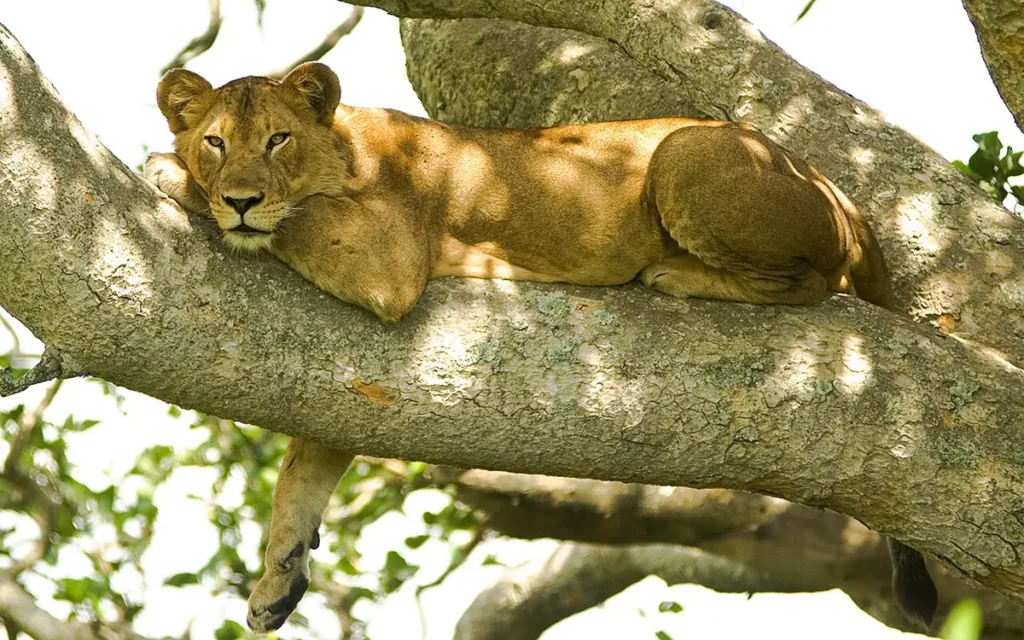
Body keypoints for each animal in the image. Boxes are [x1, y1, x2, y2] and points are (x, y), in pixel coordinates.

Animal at [146, 62, 936, 632]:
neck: (345, 149)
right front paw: (279, 576)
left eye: (277, 140)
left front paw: (168, 173)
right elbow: (305, 469)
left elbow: (296, 218)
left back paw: (675, 272)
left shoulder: (388, 259)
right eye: (216, 141)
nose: (239, 199)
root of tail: (842, 191)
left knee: (810, 283)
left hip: (686, 152)